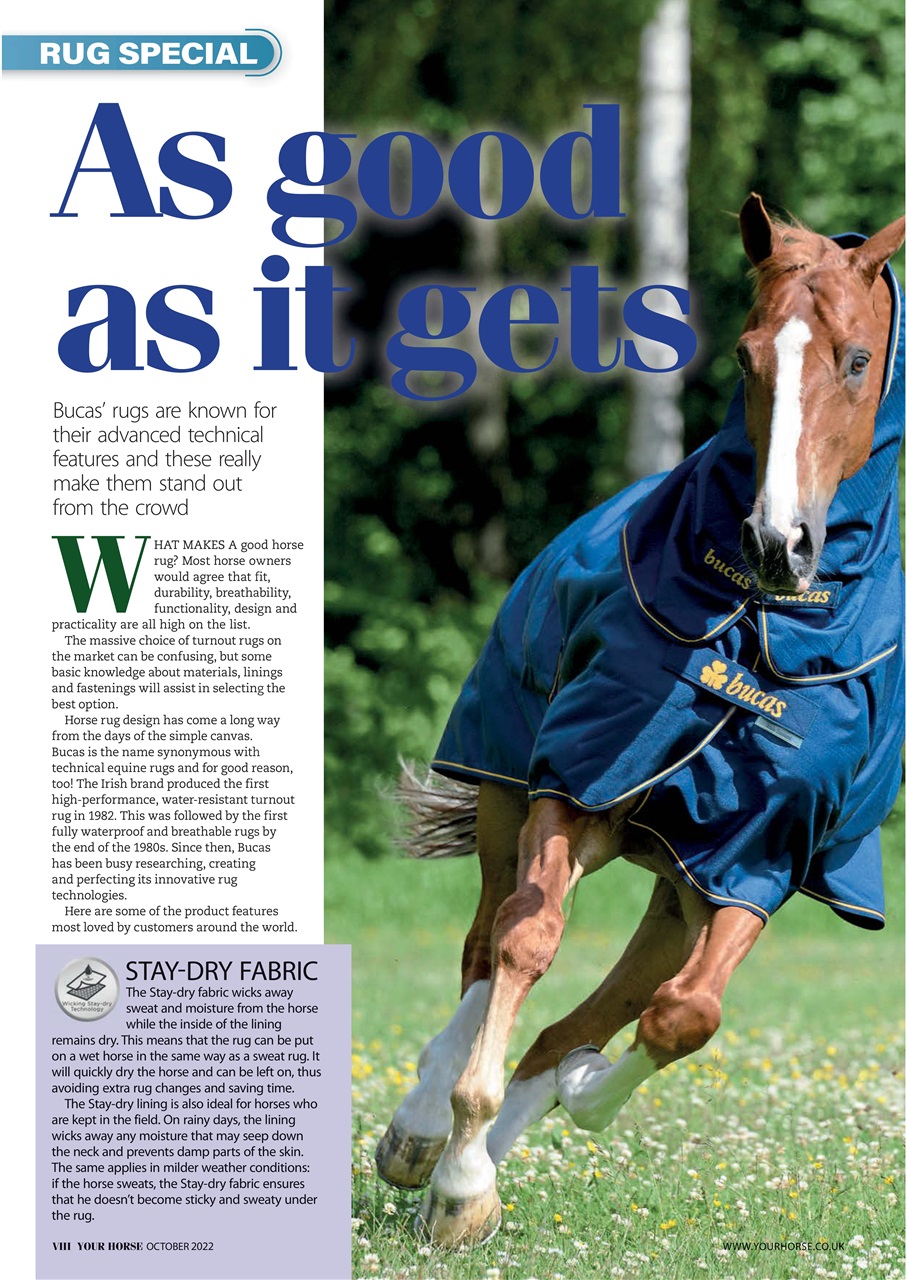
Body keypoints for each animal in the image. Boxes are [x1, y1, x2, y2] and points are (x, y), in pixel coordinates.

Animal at [373, 193, 906, 1248]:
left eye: (856, 359)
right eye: (744, 355)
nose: (776, 541)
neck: (760, 630)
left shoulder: (755, 858)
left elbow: (682, 1016)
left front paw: (526, 1135)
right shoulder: (577, 783)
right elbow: (525, 942)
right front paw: (456, 1166)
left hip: (673, 887)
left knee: (583, 1017)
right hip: (509, 795)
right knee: (486, 944)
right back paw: (419, 1134)